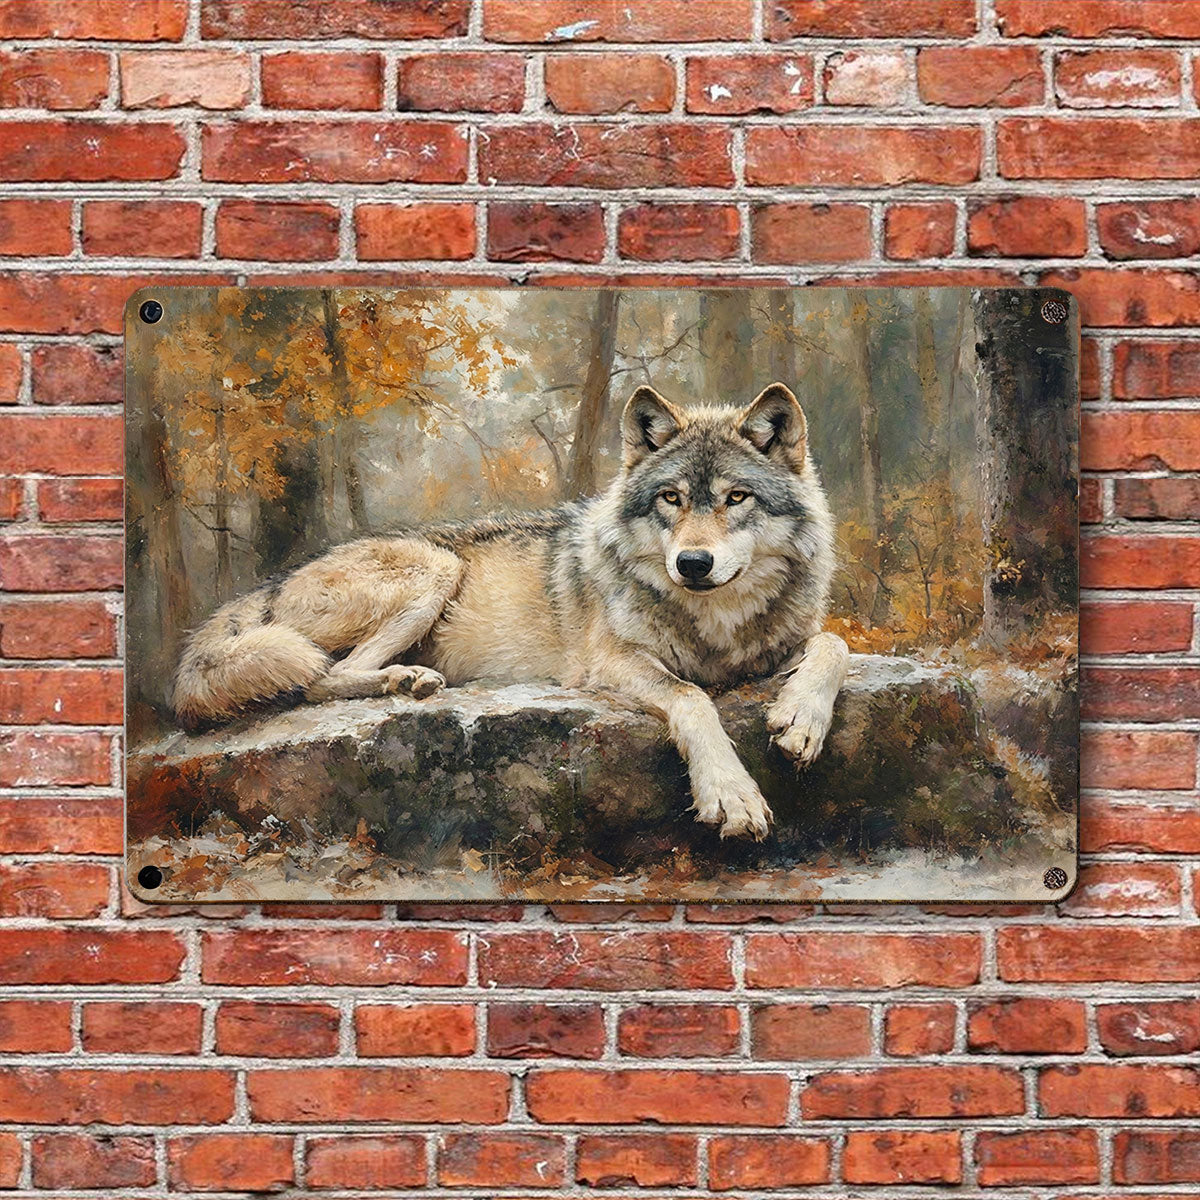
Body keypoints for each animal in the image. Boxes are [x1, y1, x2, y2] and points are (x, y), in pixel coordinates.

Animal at [173, 382, 849, 840]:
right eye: (670, 498)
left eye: (737, 498)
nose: (693, 563)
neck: (715, 624)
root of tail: (271, 584)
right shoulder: (608, 662)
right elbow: (692, 697)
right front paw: (732, 795)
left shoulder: (781, 643)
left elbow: (834, 644)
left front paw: (801, 720)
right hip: (434, 569)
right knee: (320, 677)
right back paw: (405, 680)